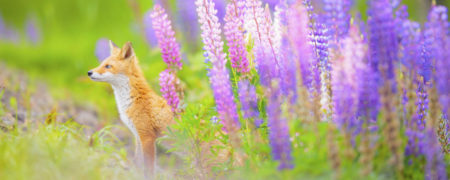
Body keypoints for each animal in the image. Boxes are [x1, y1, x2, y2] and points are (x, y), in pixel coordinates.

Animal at [88, 40, 174, 176]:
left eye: (108, 66)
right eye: (101, 64)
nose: (89, 72)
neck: (132, 100)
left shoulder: (147, 137)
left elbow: (149, 169)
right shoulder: (138, 137)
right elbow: (137, 163)